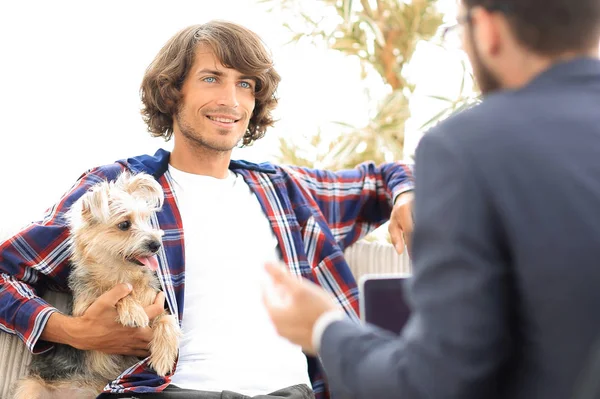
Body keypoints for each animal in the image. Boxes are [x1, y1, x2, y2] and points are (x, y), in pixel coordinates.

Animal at [12, 173, 180, 399]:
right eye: (124, 224)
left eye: (146, 219)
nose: (156, 244)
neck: (122, 273)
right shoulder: (85, 311)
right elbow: (114, 294)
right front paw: (132, 310)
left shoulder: (156, 305)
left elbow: (167, 319)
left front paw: (164, 357)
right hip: (29, 388)